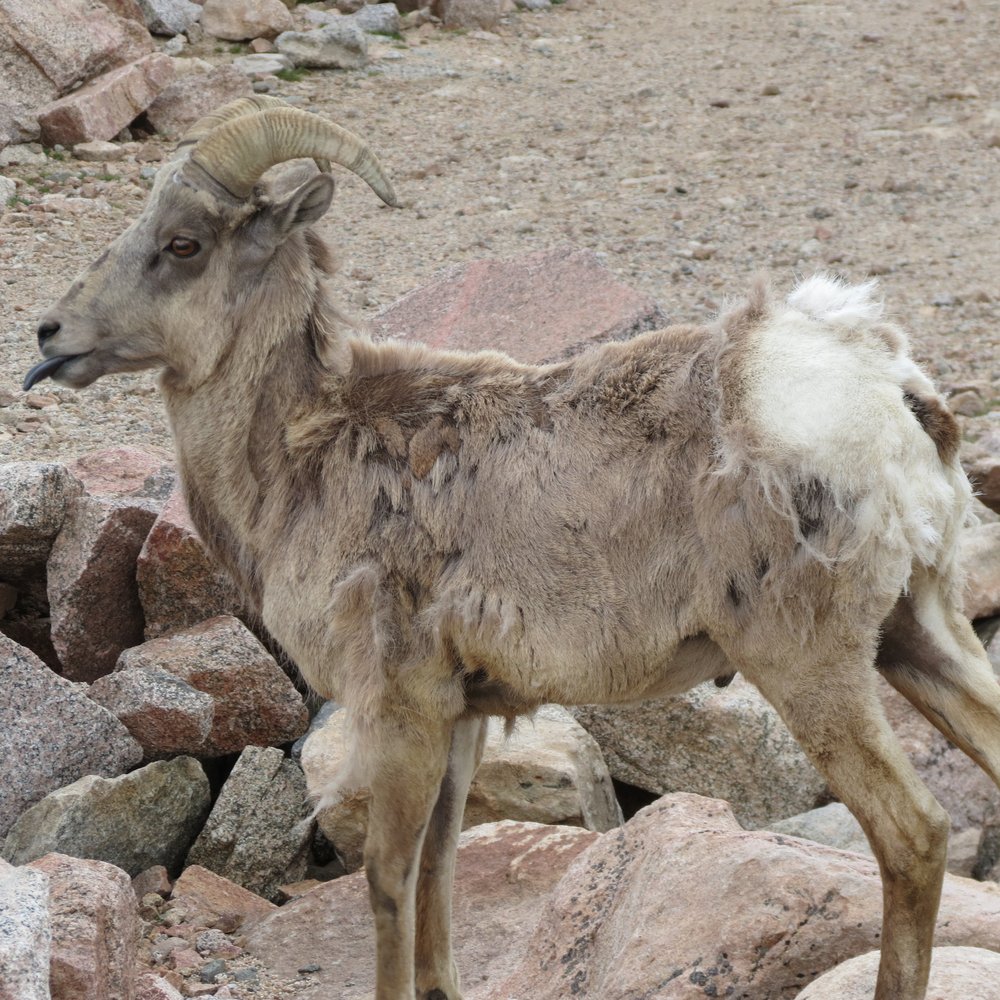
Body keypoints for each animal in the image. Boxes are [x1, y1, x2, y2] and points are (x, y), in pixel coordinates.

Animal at [26, 97, 1000, 1000]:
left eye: (183, 244)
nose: (49, 337)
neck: (303, 454)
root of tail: (885, 392)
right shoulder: (461, 715)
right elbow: (438, 870)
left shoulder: (403, 706)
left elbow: (388, 876)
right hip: (921, 633)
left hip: (808, 662)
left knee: (913, 835)